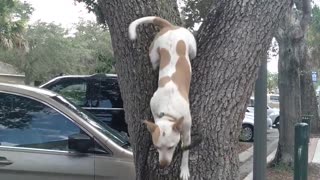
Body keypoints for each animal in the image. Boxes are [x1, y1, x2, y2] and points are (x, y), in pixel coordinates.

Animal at [129, 16, 196, 179]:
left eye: (171, 147)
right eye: (157, 146)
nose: (163, 164)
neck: (168, 110)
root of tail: (170, 27)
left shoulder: (186, 132)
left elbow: (186, 152)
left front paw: (184, 170)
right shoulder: (154, 110)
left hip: (192, 48)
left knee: (192, 53)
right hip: (153, 54)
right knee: (155, 62)